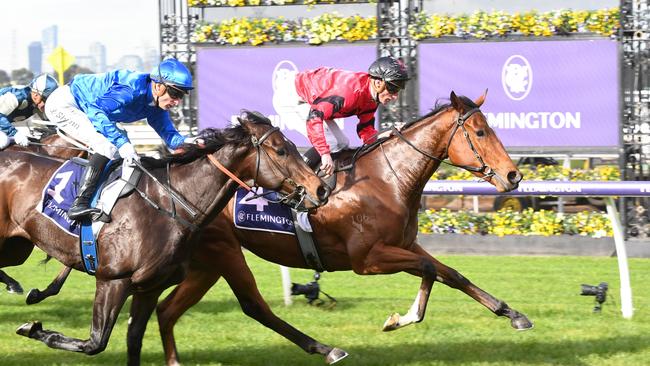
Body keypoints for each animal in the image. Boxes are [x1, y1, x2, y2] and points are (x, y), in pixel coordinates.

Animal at [0, 112, 326, 358]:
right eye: (281, 150)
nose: (320, 189)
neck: (172, 204)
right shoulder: (113, 280)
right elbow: (94, 343)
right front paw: (32, 328)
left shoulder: (149, 287)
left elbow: (133, 339)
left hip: (16, 249)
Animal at [143, 91, 532, 364]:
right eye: (480, 132)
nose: (514, 175)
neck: (387, 179)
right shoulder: (368, 260)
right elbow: (428, 270)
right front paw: (400, 319)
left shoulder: (405, 245)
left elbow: (450, 273)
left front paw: (512, 314)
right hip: (224, 251)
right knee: (253, 306)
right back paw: (326, 349)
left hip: (205, 264)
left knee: (166, 311)